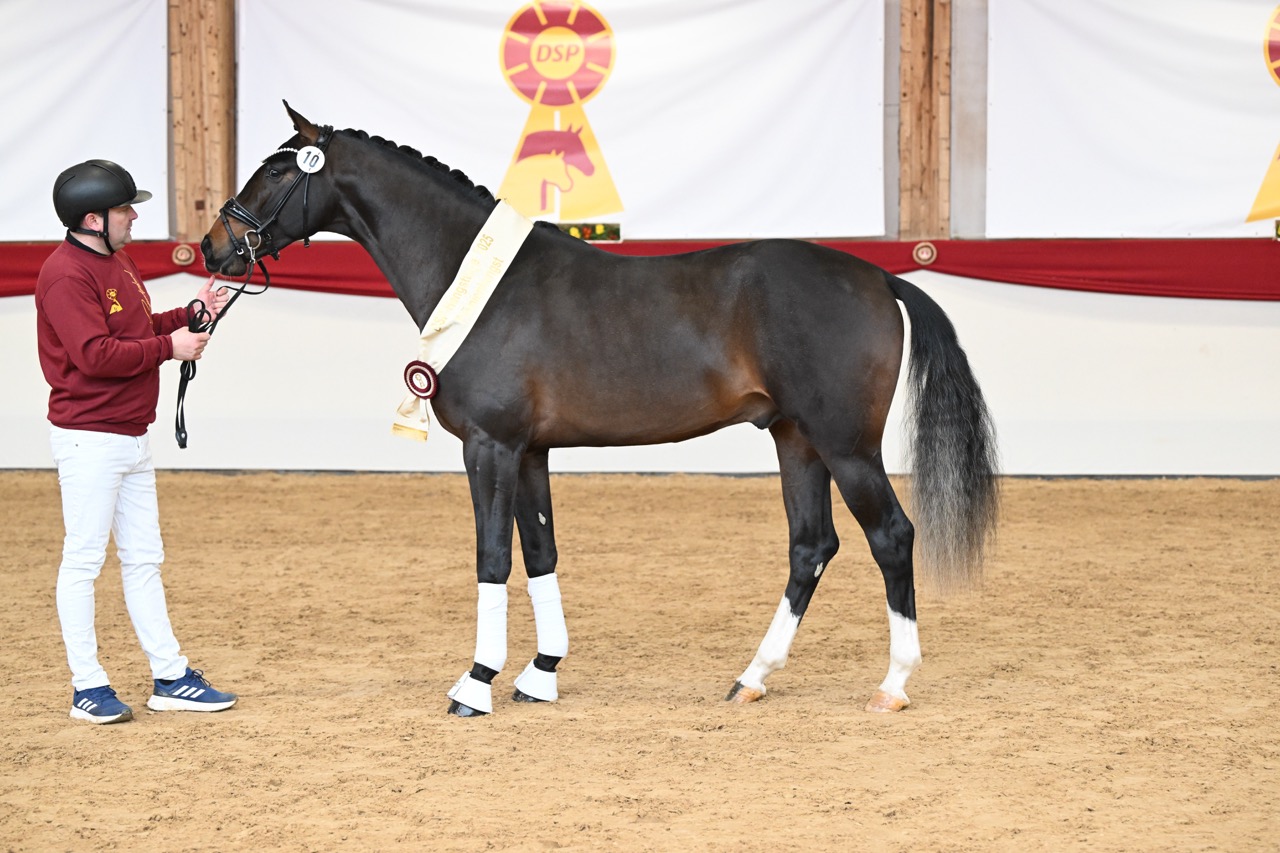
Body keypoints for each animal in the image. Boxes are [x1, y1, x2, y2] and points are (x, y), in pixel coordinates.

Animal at [201, 101, 999, 717]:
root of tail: (879, 276)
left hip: (845, 445)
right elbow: (540, 551)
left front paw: (476, 683)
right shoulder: (528, 451)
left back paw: (892, 685)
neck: (484, 281)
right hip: (795, 439)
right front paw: (540, 674)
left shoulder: (489, 446)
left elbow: (493, 557)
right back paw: (751, 678)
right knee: (811, 546)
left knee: (891, 536)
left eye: (278, 171)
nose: (213, 247)